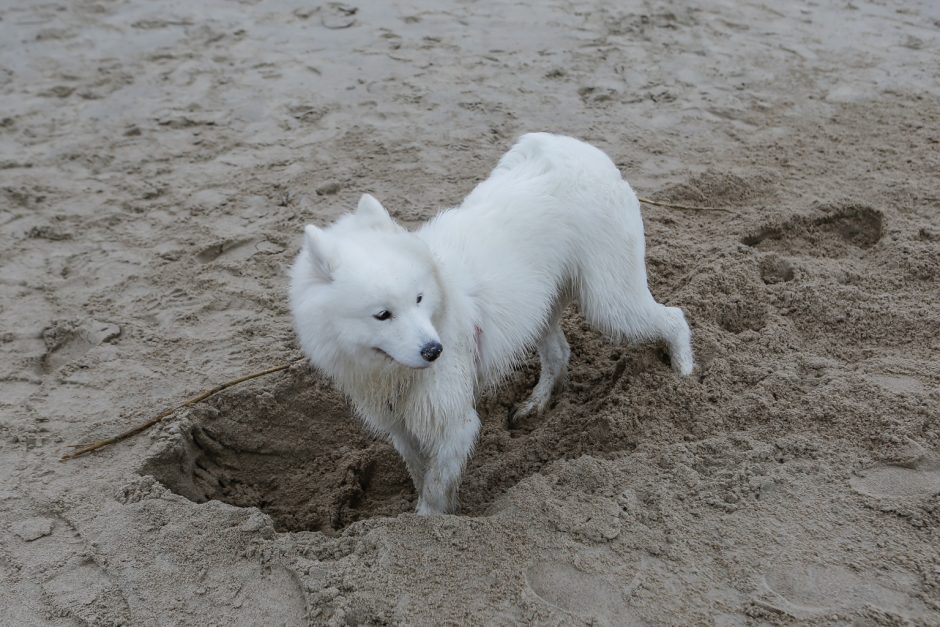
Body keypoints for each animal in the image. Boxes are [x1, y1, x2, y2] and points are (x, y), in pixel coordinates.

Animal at [290, 134, 692, 516]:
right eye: (382, 315)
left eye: (418, 298)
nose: (434, 351)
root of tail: (581, 149)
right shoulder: (400, 425)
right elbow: (421, 473)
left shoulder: (456, 423)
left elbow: (435, 487)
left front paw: (426, 522)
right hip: (541, 308)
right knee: (560, 354)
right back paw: (536, 404)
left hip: (609, 303)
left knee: (675, 318)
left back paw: (685, 378)